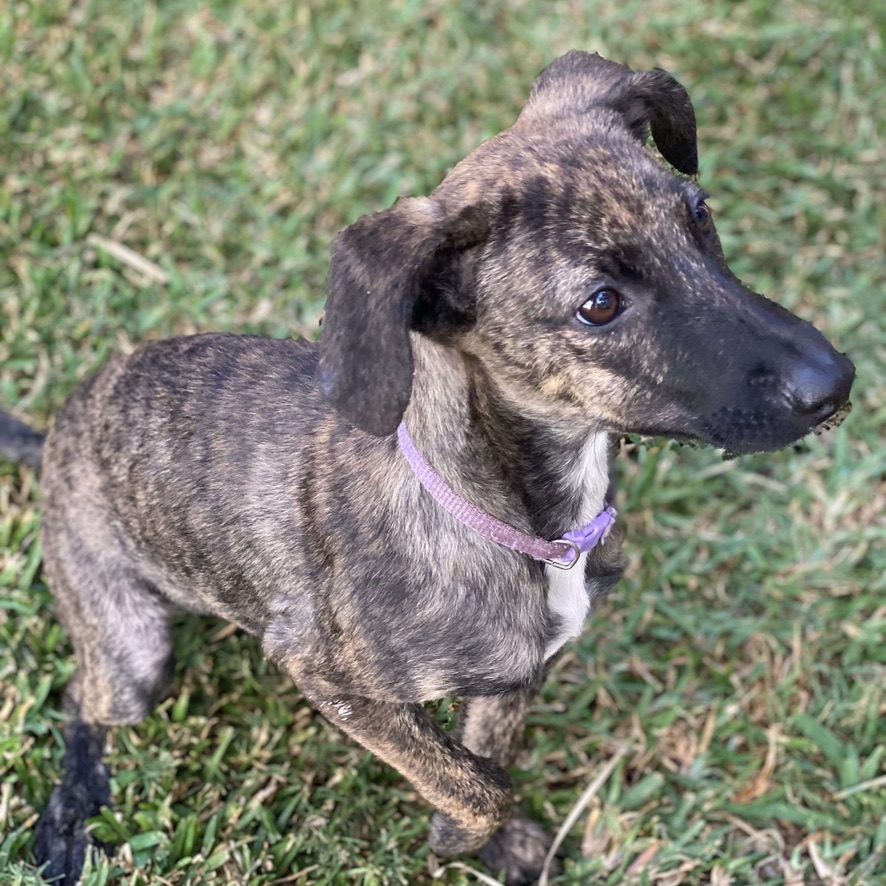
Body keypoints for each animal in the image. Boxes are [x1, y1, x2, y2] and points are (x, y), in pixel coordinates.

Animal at [1, 52, 860, 884]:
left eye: (700, 216)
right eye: (600, 304)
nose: (837, 382)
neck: (517, 522)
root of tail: (58, 436)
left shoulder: (517, 675)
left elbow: (484, 758)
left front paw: (497, 845)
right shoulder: (333, 679)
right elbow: (475, 782)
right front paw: (464, 835)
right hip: (133, 649)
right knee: (84, 699)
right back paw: (70, 817)